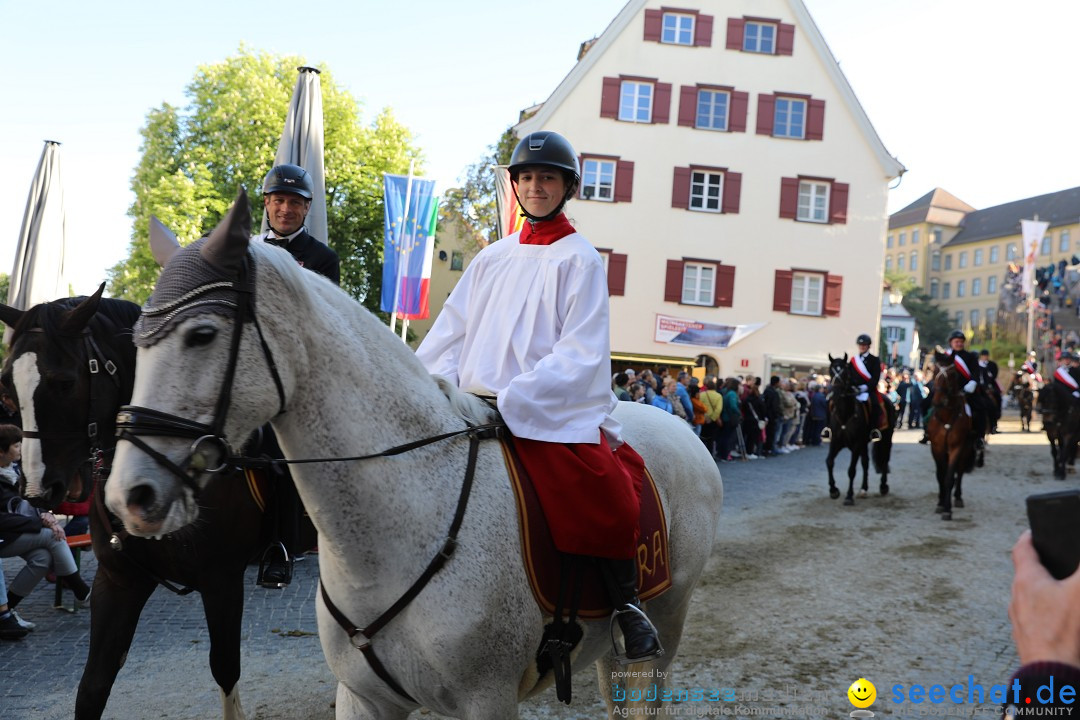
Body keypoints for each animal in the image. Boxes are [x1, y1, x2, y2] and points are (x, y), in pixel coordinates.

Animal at [0, 289, 268, 720]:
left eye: (64, 382)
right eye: (7, 387)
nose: (38, 490)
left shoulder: (222, 580)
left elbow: (225, 668)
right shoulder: (119, 581)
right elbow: (93, 686)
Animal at [105, 194, 721, 716]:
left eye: (202, 334)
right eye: (135, 342)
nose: (128, 496)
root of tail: (684, 432)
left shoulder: (487, 700)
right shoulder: (363, 698)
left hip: (664, 628)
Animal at [924, 351, 976, 520]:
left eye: (953, 374)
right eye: (934, 371)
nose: (938, 401)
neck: (946, 416)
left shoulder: (956, 447)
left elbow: (949, 477)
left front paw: (947, 509)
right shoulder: (937, 447)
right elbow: (941, 476)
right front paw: (941, 504)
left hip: (966, 449)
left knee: (959, 472)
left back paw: (958, 497)